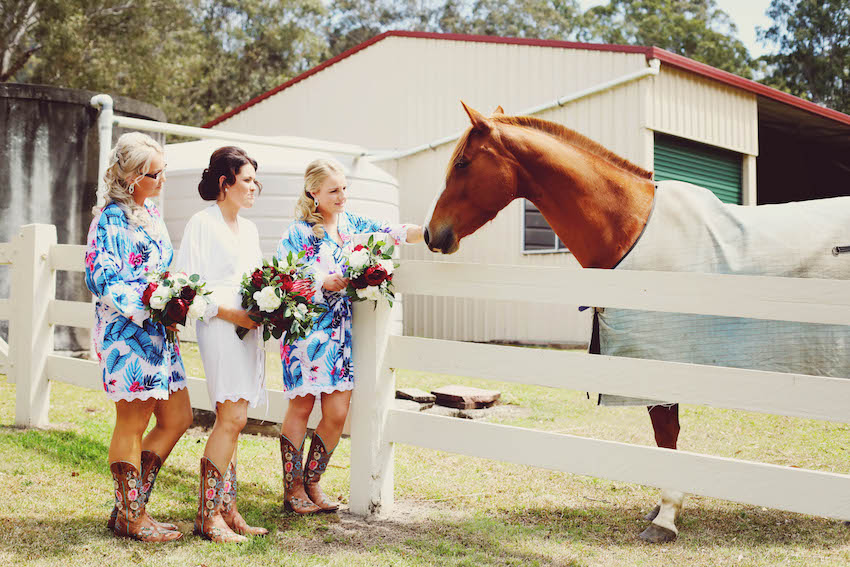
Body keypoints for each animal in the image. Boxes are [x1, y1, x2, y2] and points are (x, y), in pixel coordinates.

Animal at [422, 101, 848, 540]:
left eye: (463, 163)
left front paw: (666, 517)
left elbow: (666, 434)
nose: (430, 233)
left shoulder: (657, 361)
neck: (631, 226)